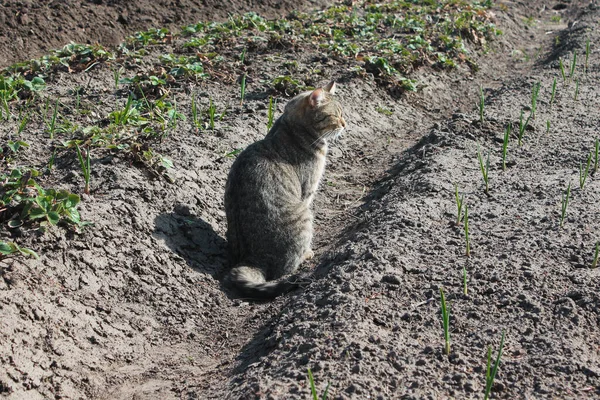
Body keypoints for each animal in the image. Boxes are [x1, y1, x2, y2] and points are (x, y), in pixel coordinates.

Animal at [224, 81, 346, 298]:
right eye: (335, 115)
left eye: (343, 114)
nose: (345, 123)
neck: (290, 126)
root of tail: (253, 259)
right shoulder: (308, 192)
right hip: (304, 214)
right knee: (286, 268)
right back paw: (306, 254)